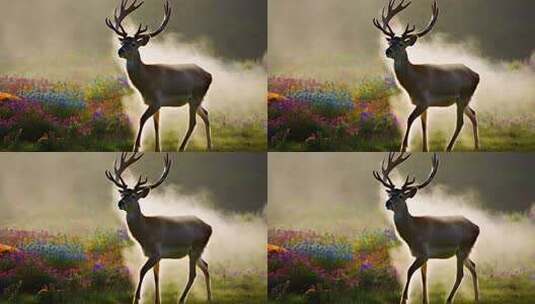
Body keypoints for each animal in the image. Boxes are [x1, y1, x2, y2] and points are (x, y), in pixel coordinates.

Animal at [104, 0, 214, 152]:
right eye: (123, 42)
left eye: (133, 44)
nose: (120, 51)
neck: (146, 81)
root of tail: (209, 75)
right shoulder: (155, 103)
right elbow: (157, 125)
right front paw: (157, 148)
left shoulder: (156, 100)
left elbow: (142, 119)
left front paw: (136, 147)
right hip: (198, 99)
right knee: (206, 114)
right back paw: (209, 146)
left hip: (195, 96)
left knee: (193, 122)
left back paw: (181, 148)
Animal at [105, 153, 213, 302]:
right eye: (122, 194)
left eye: (132, 195)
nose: (120, 203)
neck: (146, 232)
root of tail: (209, 227)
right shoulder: (156, 255)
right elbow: (156, 276)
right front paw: (157, 300)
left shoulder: (156, 252)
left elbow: (142, 271)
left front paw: (137, 298)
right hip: (196, 251)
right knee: (206, 266)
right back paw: (209, 298)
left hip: (196, 248)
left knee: (193, 274)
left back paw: (181, 299)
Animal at [372, 0, 482, 152]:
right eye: (390, 42)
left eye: (400, 44)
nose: (387, 51)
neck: (413, 81)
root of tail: (477, 75)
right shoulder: (424, 104)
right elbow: (424, 125)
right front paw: (425, 148)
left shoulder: (424, 100)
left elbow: (410, 119)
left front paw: (403, 147)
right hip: (464, 99)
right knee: (473, 114)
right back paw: (476, 146)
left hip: (463, 96)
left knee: (460, 122)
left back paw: (449, 147)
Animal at [372, 153, 482, 304]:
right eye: (390, 194)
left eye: (400, 196)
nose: (387, 203)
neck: (413, 232)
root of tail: (477, 227)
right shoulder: (424, 256)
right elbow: (424, 277)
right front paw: (425, 300)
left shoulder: (423, 253)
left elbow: (409, 271)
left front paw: (404, 298)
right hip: (465, 251)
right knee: (473, 266)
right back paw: (477, 298)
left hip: (462, 248)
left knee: (460, 274)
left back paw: (449, 299)